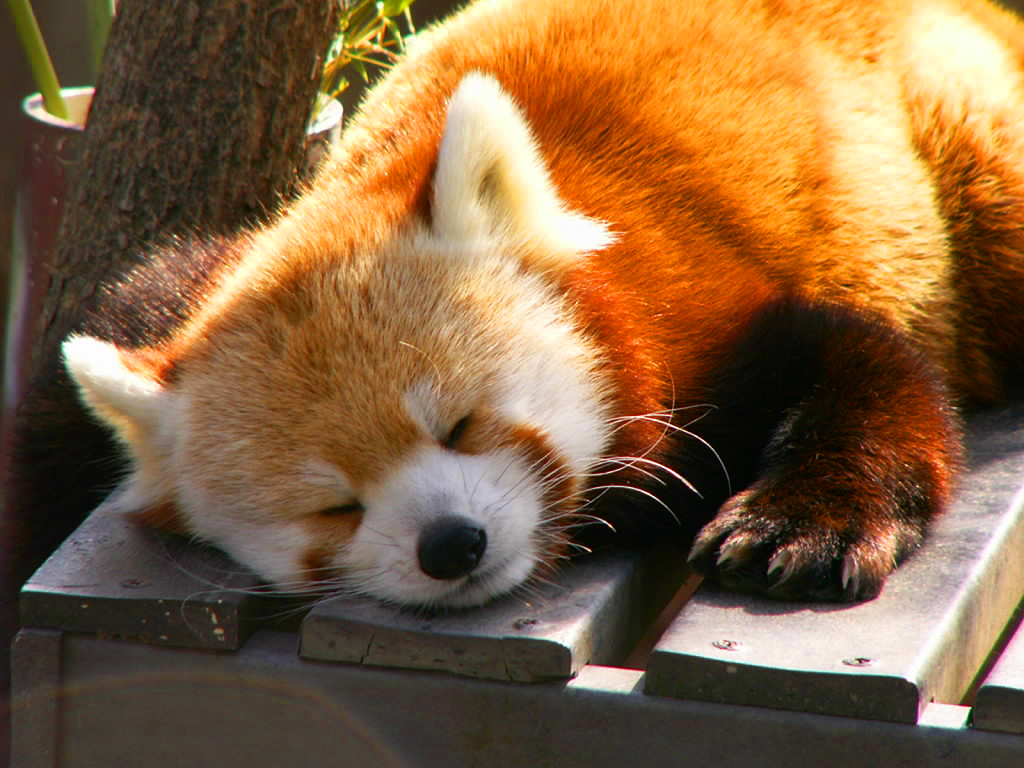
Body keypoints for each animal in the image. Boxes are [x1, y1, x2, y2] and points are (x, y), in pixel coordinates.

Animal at [6, 0, 1024, 614]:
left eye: (458, 425)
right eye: (335, 507)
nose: (452, 544)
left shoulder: (697, 302)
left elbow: (862, 362)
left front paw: (804, 526)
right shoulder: (212, 276)